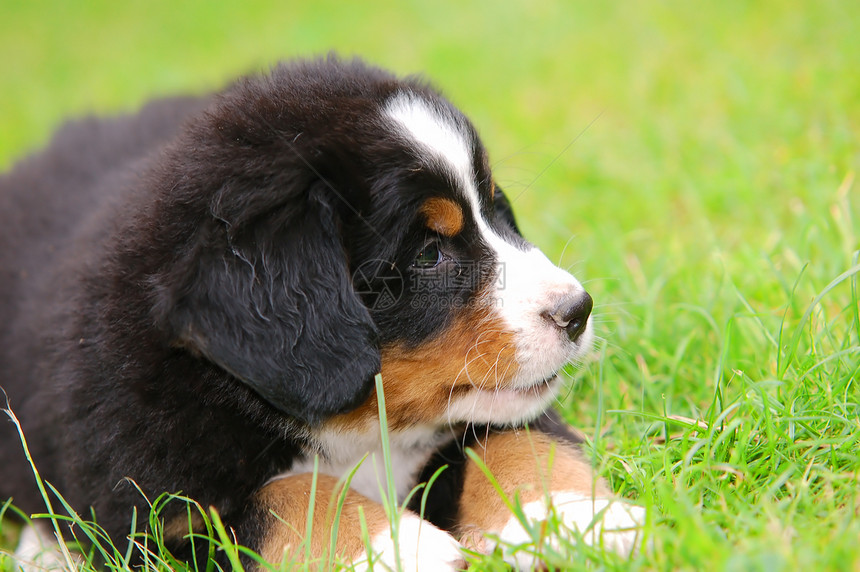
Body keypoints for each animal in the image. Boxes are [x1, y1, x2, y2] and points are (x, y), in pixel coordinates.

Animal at [0, 57, 640, 568]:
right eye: (429, 254)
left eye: (497, 211)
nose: (577, 311)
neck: (361, 431)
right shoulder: (154, 507)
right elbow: (285, 496)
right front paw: (401, 548)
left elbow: (513, 443)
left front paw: (579, 516)